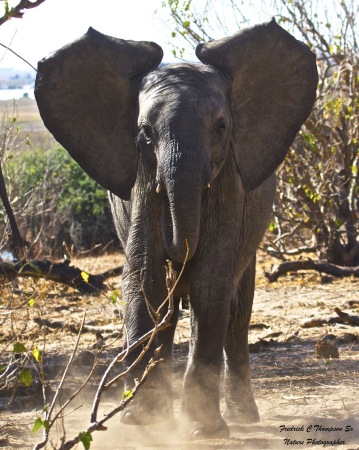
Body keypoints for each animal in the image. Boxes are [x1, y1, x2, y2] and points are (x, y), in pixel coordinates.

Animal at [35, 20, 318, 440]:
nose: (177, 252)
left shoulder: (229, 179)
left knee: (237, 312)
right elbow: (144, 277)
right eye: (145, 133)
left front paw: (203, 430)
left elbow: (209, 283)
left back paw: (243, 417)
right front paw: (140, 422)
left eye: (221, 128)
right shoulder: (141, 179)